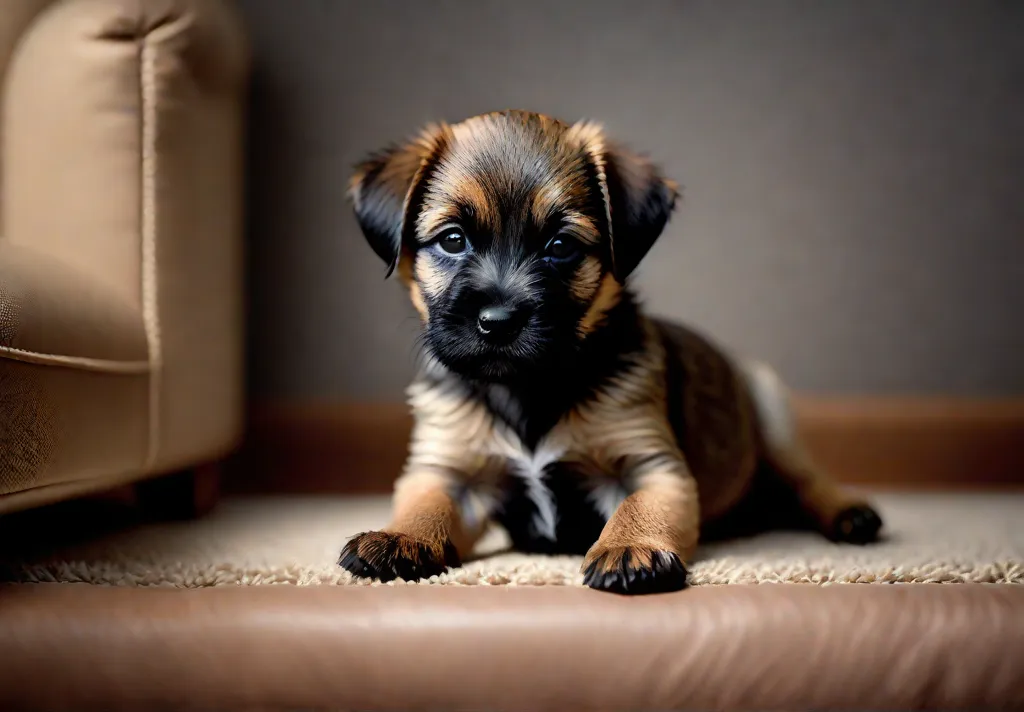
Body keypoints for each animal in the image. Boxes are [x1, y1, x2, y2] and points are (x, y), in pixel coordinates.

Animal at [339, 108, 884, 594]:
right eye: (452, 240)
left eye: (560, 246)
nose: (498, 321)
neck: (528, 388)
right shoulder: (450, 472)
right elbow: (425, 503)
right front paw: (399, 537)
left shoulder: (650, 466)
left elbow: (637, 508)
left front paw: (628, 547)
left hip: (773, 416)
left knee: (808, 480)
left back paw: (849, 514)